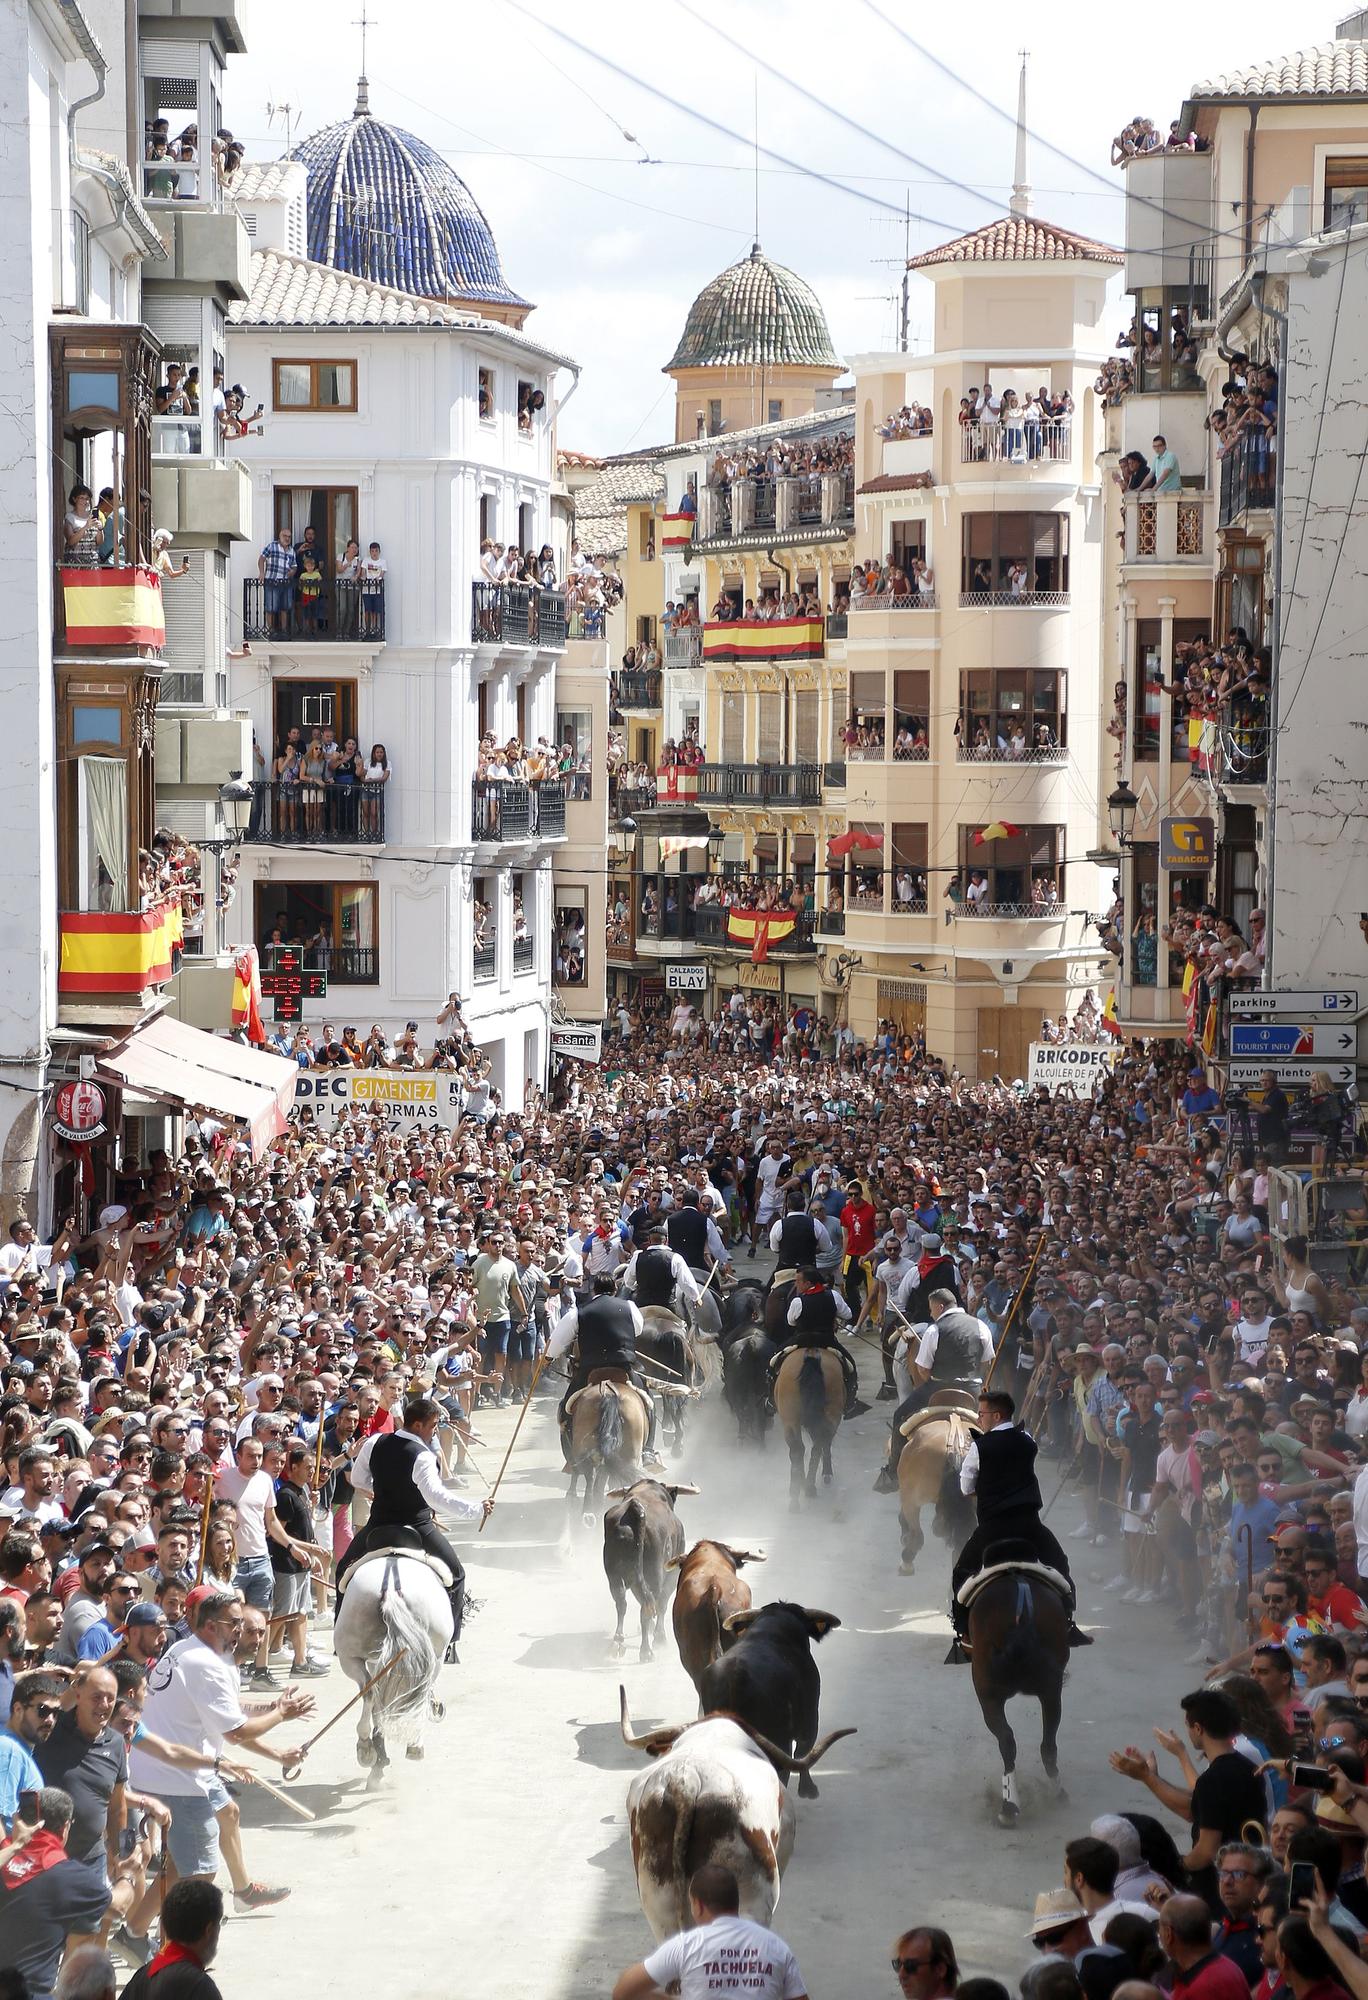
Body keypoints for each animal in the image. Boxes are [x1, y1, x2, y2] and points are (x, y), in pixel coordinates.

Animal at [332, 1544, 452, 1784]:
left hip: (350, 1657)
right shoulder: (437, 1656)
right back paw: (408, 1745)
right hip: (434, 1655)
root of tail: (390, 1589)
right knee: (417, 1692)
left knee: (369, 1692)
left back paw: (367, 1748)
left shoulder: (376, 1662)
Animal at [776, 1344, 840, 1504]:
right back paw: (809, 1487)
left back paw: (798, 1493)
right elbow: (825, 1444)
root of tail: (811, 1355)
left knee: (798, 1450)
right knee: (816, 1446)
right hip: (829, 1415)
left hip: (790, 1420)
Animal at [968, 1560, 1072, 1832]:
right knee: (1047, 1745)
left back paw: (1010, 1806)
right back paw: (1052, 1794)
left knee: (1007, 1740)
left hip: (988, 1694)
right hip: (1050, 1691)